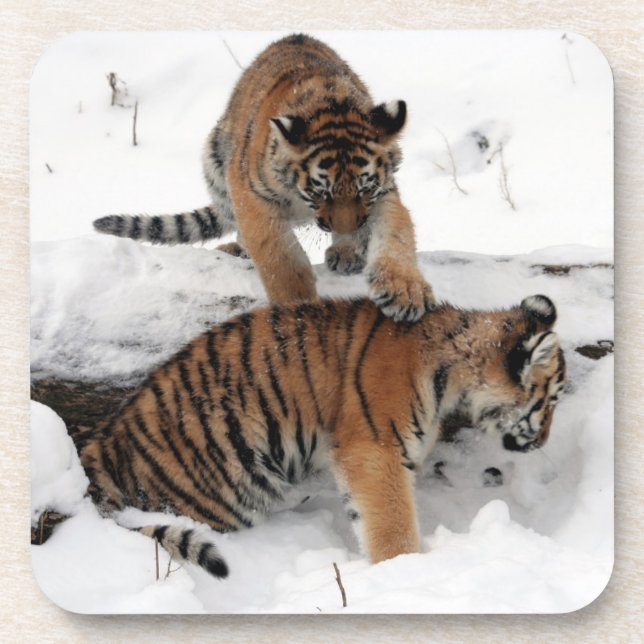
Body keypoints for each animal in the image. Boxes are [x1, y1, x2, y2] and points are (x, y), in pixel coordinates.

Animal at [76, 294, 566, 578]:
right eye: (549, 403)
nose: (544, 442)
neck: (451, 368)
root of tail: (101, 448)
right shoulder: (374, 448)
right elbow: (391, 519)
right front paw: (405, 570)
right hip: (224, 493)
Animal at [92, 33, 434, 322]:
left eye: (365, 190)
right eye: (321, 193)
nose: (348, 229)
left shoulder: (384, 193)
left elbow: (397, 235)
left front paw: (405, 292)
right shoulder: (252, 195)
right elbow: (279, 258)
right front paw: (297, 305)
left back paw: (346, 251)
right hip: (215, 163)